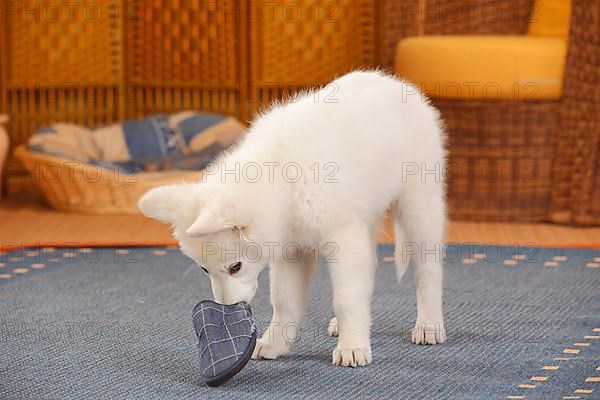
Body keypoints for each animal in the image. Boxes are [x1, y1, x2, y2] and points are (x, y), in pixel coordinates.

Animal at [139, 70, 446, 368]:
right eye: (205, 270)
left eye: (236, 267)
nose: (228, 310)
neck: (282, 183)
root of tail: (396, 83)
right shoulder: (292, 249)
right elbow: (285, 301)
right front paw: (274, 343)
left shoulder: (343, 238)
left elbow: (347, 297)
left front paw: (352, 347)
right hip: (367, 215)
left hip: (419, 204)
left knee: (428, 269)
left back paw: (429, 324)